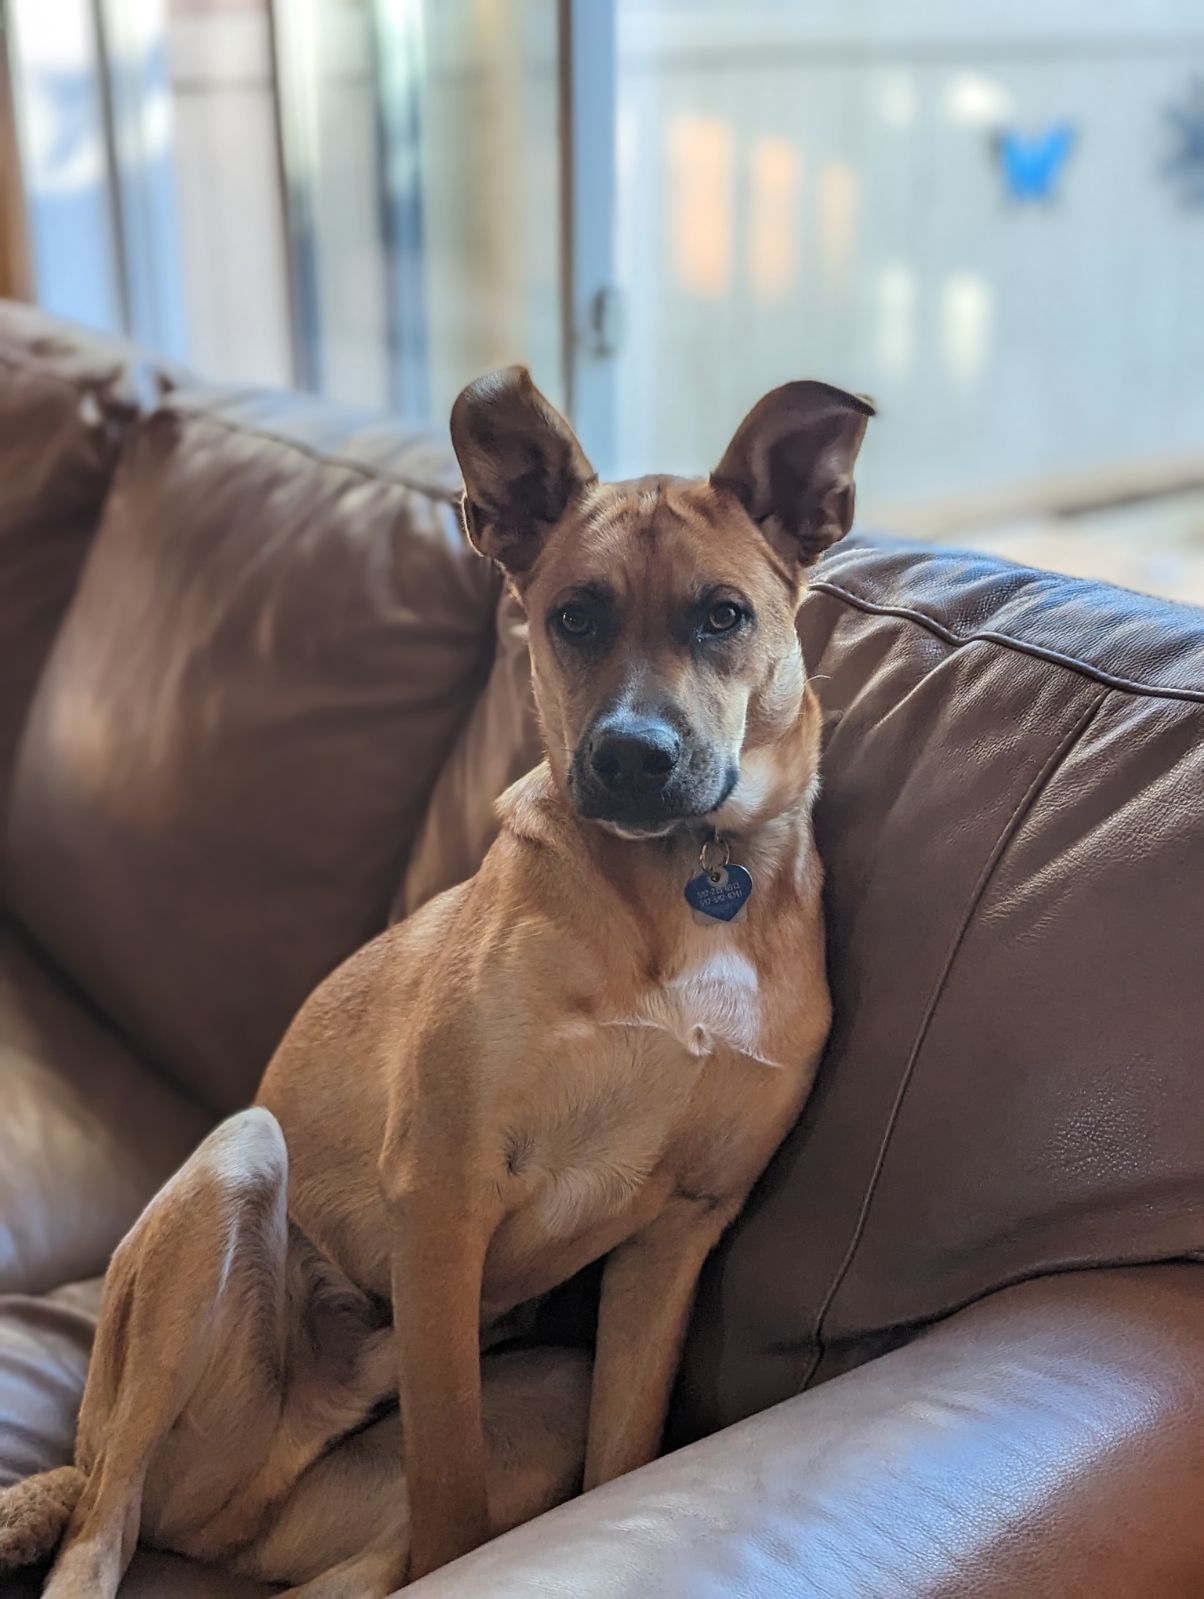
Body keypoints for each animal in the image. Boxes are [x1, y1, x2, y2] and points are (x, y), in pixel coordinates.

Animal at [0, 369, 872, 1597]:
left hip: (479, 1424)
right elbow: (449, 1477)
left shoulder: (677, 1235)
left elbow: (618, 1461)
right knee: (105, 1521)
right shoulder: (444, 1191)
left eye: (723, 615)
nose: (630, 758)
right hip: (230, 1172)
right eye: (573, 616)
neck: (682, 875)